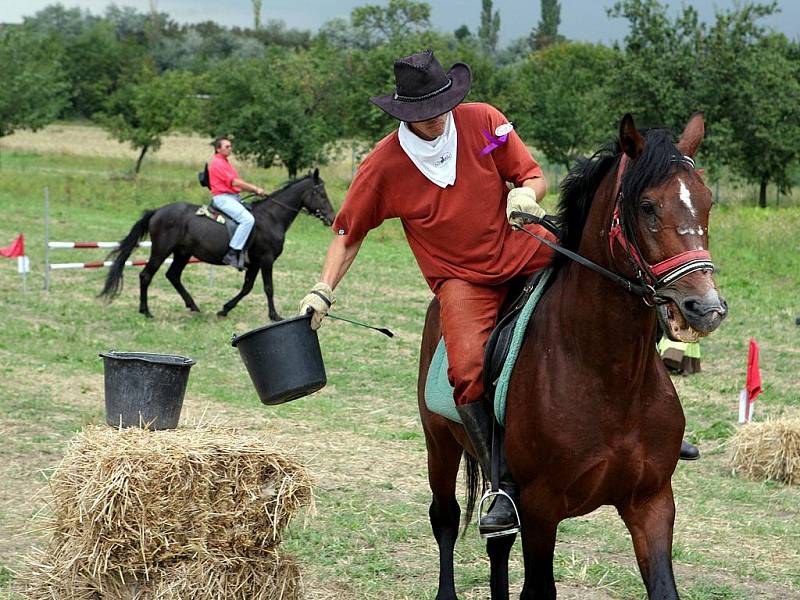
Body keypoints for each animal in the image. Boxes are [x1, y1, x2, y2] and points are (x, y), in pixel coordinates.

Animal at [99, 169, 334, 318]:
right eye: (321, 193)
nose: (332, 218)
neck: (272, 217)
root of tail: (157, 211)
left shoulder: (255, 263)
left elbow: (247, 287)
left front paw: (225, 309)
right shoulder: (266, 260)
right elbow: (268, 288)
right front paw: (274, 315)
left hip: (182, 253)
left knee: (173, 275)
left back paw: (193, 305)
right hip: (161, 251)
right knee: (146, 275)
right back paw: (146, 311)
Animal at [418, 113, 732, 600]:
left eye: (706, 201)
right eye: (647, 206)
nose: (705, 308)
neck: (610, 376)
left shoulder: (652, 503)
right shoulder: (541, 508)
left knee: (497, 546)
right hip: (440, 443)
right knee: (446, 520)